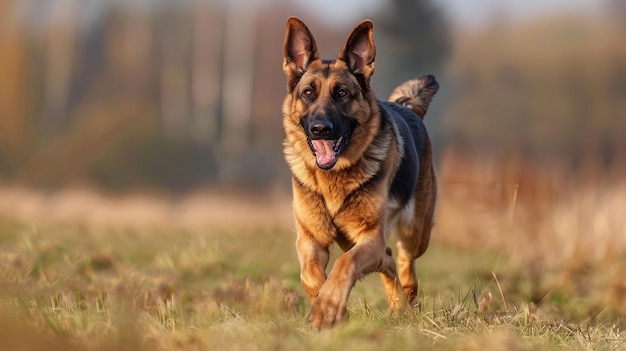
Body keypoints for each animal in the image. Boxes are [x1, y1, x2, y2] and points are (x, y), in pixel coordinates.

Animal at [280, 16, 436, 330]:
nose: (320, 129)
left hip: (416, 231)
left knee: (403, 262)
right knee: (387, 261)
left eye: (342, 94)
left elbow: (345, 264)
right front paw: (331, 309)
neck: (333, 178)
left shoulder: (370, 236)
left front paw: (326, 310)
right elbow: (310, 276)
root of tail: (409, 106)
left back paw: (408, 301)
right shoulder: (310, 239)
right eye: (308, 93)